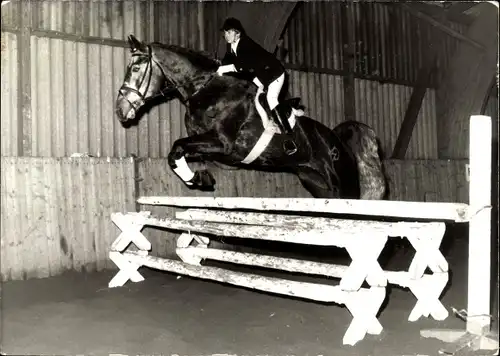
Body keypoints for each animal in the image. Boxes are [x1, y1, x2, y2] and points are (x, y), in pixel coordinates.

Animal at [114, 35, 386, 200]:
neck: (206, 89)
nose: (120, 110)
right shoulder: (206, 146)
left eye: (135, 68)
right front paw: (199, 179)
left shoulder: (222, 143)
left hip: (342, 183)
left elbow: (177, 146)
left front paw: (198, 179)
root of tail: (338, 142)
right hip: (316, 183)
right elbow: (176, 153)